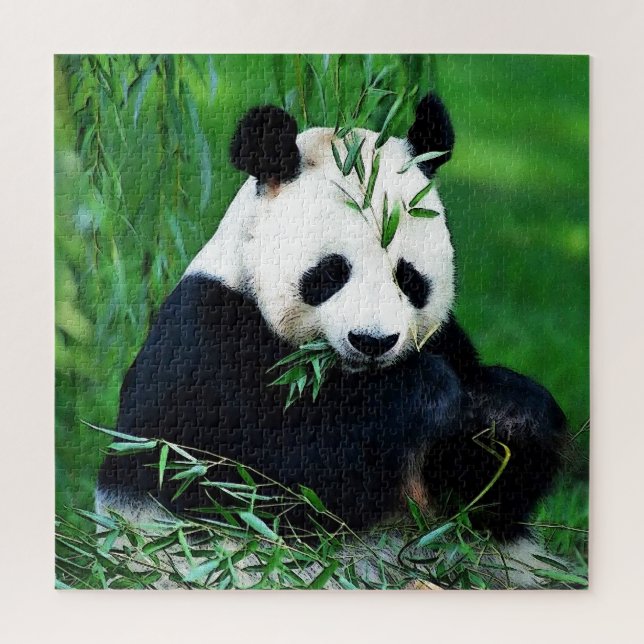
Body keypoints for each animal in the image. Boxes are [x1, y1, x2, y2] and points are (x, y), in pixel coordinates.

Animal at [96, 93, 567, 585]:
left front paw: (508, 413)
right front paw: (422, 392)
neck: (346, 376)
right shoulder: (204, 341)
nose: (372, 341)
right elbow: (257, 481)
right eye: (331, 272)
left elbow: (480, 502)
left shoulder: (444, 340)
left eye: (408, 277)